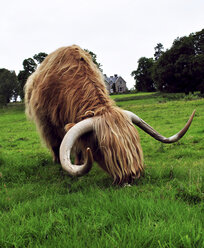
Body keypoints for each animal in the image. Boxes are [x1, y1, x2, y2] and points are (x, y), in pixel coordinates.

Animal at [24, 45, 195, 184]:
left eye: (136, 141)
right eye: (102, 147)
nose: (132, 176)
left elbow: (79, 147)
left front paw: (80, 160)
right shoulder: (48, 124)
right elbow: (57, 145)